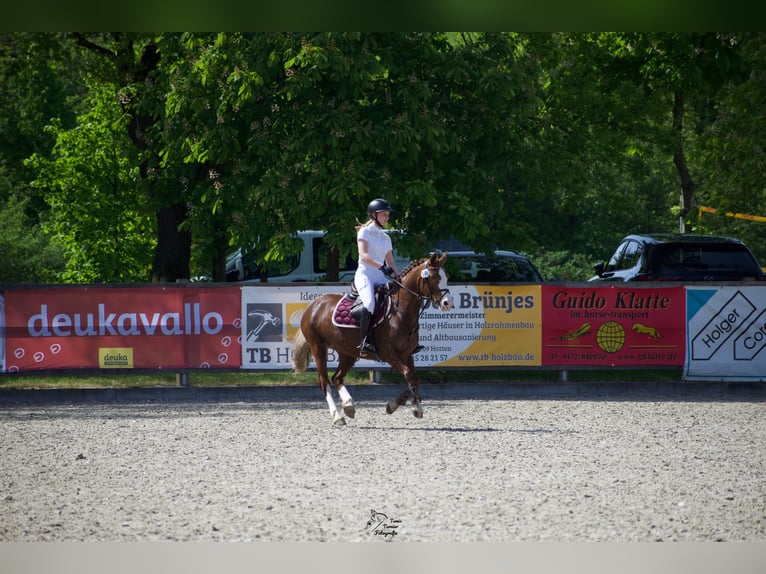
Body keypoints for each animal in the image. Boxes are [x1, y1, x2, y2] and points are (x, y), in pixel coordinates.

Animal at [292, 255, 452, 428]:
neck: (400, 311)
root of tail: (313, 305)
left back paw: (349, 406)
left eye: (446, 277)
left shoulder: (407, 353)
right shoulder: (389, 354)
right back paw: (337, 416)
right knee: (324, 381)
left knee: (337, 378)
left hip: (348, 352)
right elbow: (409, 375)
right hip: (318, 348)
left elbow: (415, 378)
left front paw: (399, 405)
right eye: (433, 277)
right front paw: (412, 407)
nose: (447, 303)